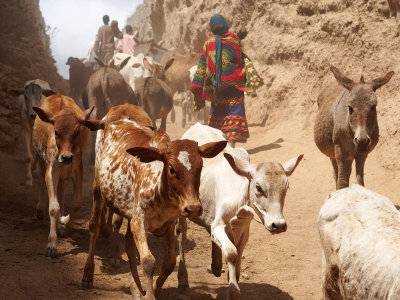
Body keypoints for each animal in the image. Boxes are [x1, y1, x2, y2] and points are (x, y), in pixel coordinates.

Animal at [32, 94, 102, 258]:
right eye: (56, 131)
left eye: (77, 132)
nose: (67, 157)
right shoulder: (52, 169)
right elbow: (53, 207)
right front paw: (51, 245)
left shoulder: (77, 169)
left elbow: (77, 202)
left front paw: (63, 222)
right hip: (41, 159)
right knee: (41, 179)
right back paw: (40, 210)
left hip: (64, 174)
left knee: (62, 193)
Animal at [80, 104, 228, 298]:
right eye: (171, 168)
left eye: (201, 166)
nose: (193, 208)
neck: (160, 189)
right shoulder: (139, 221)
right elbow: (148, 261)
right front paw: (149, 295)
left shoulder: (168, 224)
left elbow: (170, 261)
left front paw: (154, 290)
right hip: (98, 188)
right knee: (94, 226)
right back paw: (88, 274)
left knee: (129, 244)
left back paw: (136, 288)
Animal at [178, 122, 304, 300]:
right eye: (258, 187)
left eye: (286, 188)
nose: (278, 225)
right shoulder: (218, 225)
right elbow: (232, 253)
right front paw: (233, 291)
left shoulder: (244, 228)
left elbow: (238, 252)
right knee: (181, 237)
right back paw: (183, 279)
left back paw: (216, 266)